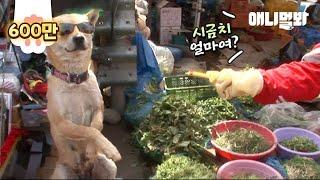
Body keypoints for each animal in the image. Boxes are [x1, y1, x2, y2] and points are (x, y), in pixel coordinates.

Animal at [44, 9, 120, 179]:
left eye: (86, 28)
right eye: (64, 31)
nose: (79, 38)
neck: (75, 80)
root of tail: (85, 175)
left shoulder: (98, 109)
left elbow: (96, 127)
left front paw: (92, 150)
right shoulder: (62, 122)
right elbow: (86, 130)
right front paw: (110, 148)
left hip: (109, 166)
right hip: (62, 173)